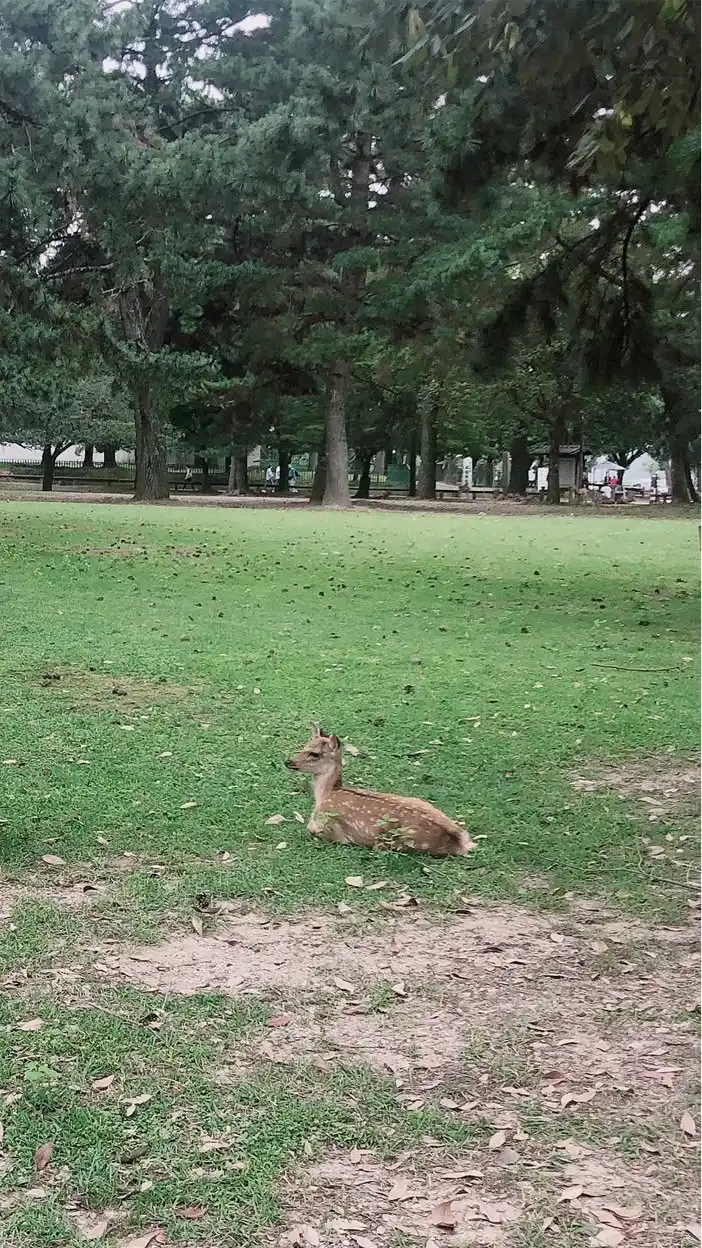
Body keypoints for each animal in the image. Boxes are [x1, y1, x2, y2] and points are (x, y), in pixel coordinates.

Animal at [284, 723, 474, 858]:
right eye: (304, 746)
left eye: (314, 754)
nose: (288, 761)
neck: (326, 794)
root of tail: (460, 842)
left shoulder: (332, 830)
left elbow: (311, 827)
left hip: (393, 841)